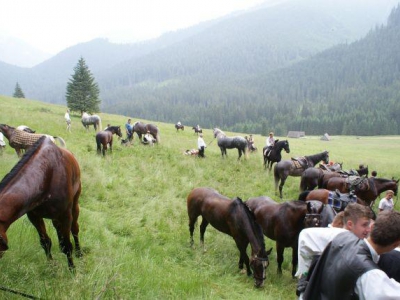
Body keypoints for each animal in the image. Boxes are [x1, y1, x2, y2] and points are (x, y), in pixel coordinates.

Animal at [0, 136, 81, 270]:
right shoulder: (34, 216)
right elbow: (45, 242)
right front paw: (51, 266)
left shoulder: (65, 215)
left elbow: (67, 245)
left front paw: (72, 270)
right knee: (57, 227)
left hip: (75, 203)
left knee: (75, 228)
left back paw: (79, 252)